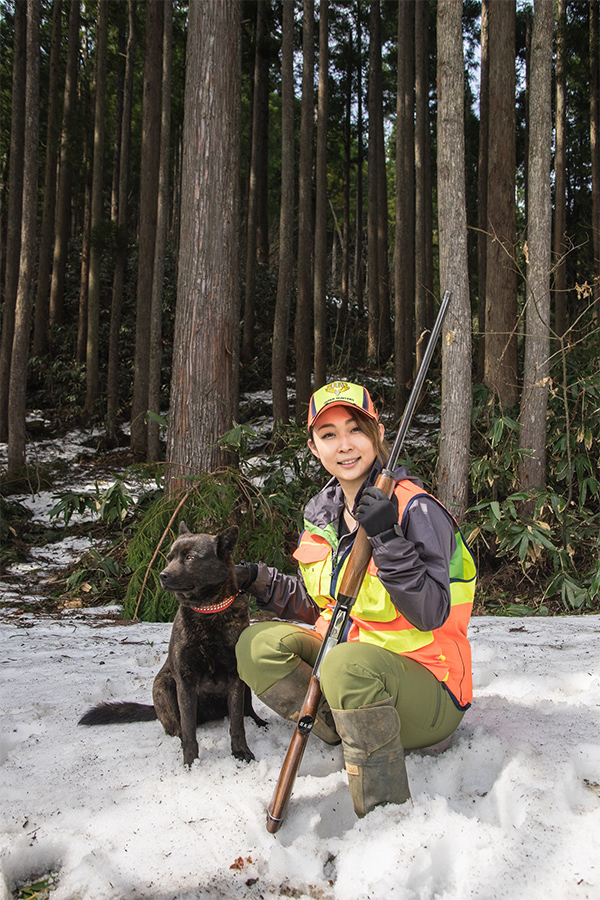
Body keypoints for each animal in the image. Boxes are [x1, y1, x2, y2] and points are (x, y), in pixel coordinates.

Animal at [79, 520, 264, 768]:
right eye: (169, 557)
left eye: (190, 557)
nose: (162, 575)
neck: (208, 612)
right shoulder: (184, 680)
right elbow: (188, 729)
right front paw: (191, 763)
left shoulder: (235, 676)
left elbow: (236, 723)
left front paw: (241, 752)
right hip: (163, 685)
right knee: (178, 728)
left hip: (245, 684)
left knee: (246, 710)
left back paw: (260, 722)